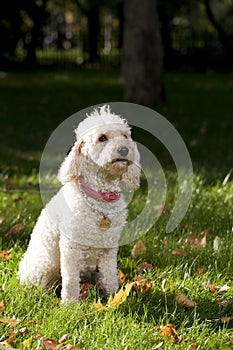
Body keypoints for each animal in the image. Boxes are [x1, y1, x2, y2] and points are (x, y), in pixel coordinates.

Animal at [17, 104, 140, 304]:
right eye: (102, 138)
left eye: (125, 136)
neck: (99, 200)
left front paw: (114, 298)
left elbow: (110, 276)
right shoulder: (70, 248)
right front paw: (69, 304)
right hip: (43, 267)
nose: (123, 150)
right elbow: (70, 280)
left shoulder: (109, 250)